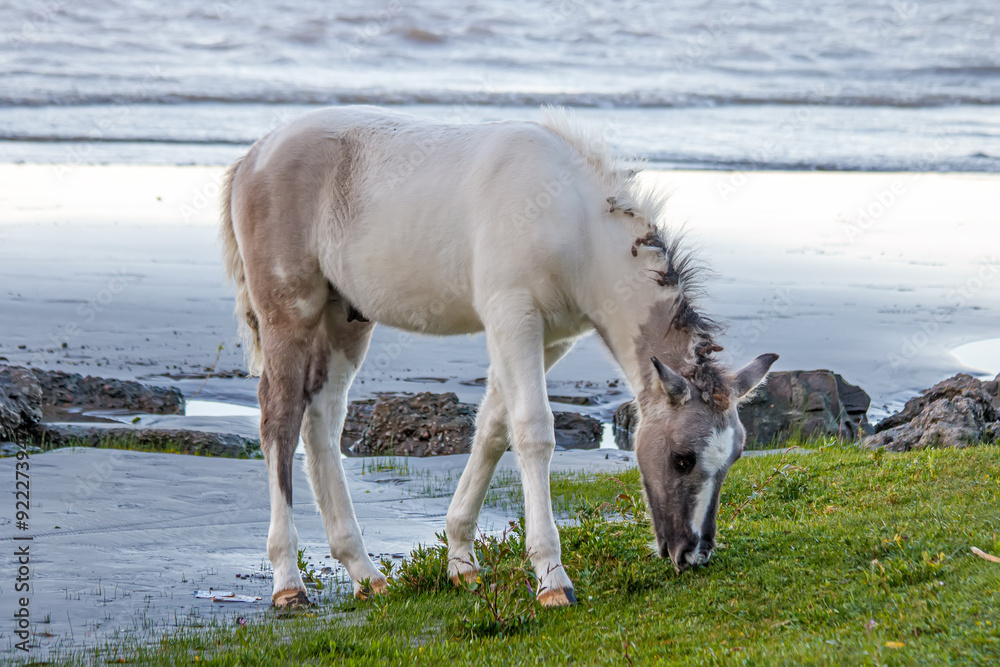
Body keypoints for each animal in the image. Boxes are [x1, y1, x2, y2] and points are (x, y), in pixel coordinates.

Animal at [220, 105, 778, 609]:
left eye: (733, 458)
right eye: (682, 458)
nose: (693, 554)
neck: (574, 222)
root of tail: (253, 157)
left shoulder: (551, 338)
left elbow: (493, 428)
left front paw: (461, 563)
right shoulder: (513, 317)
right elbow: (533, 430)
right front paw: (552, 580)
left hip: (346, 318)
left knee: (322, 420)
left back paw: (365, 574)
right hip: (290, 311)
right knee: (280, 419)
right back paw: (289, 582)